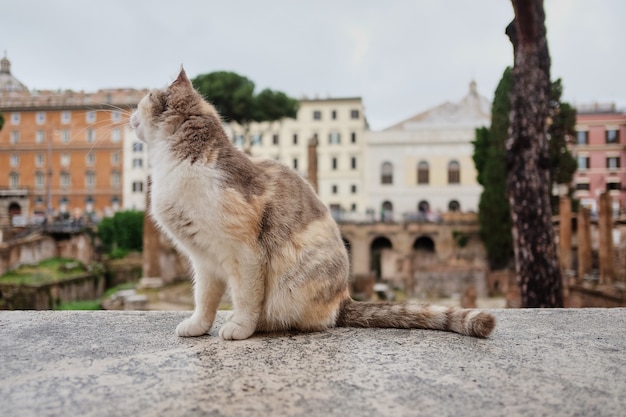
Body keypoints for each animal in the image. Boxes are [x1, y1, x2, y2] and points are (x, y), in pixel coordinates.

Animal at [129, 68, 494, 340]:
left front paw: (240, 327)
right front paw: (198, 325)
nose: (130, 116)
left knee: (305, 319)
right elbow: (203, 298)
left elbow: (246, 296)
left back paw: (263, 324)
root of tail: (344, 297)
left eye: (144, 100)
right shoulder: (204, 260)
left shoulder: (245, 253)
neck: (179, 164)